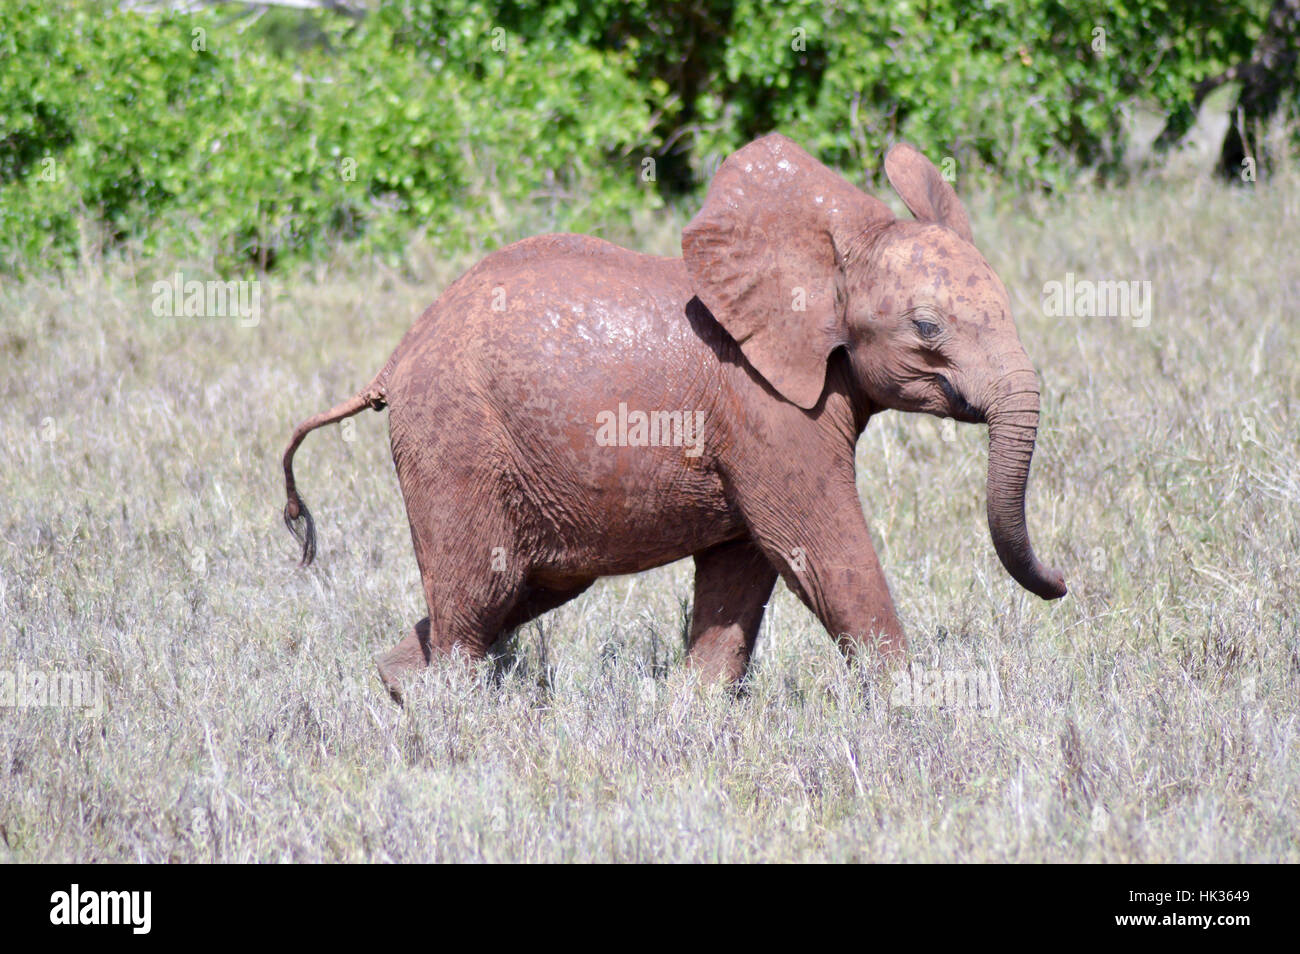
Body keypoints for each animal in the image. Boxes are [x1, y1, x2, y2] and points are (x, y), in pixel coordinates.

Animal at [284, 134, 1066, 701]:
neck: (825, 261)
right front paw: (917, 711)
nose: (1063, 582)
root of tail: (393, 359)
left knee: (519, 591)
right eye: (927, 328)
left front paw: (694, 715)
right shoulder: (766, 407)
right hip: (455, 437)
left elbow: (744, 569)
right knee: (481, 594)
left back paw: (399, 688)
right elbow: (820, 549)